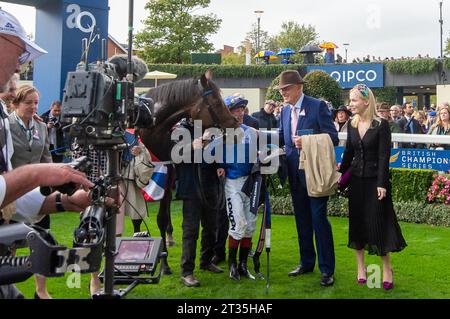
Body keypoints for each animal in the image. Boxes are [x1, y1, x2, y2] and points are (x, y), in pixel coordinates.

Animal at [140, 72, 239, 276]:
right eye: (216, 102)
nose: (235, 124)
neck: (150, 135)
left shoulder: (165, 179)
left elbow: (161, 219)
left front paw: (164, 264)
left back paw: (169, 237)